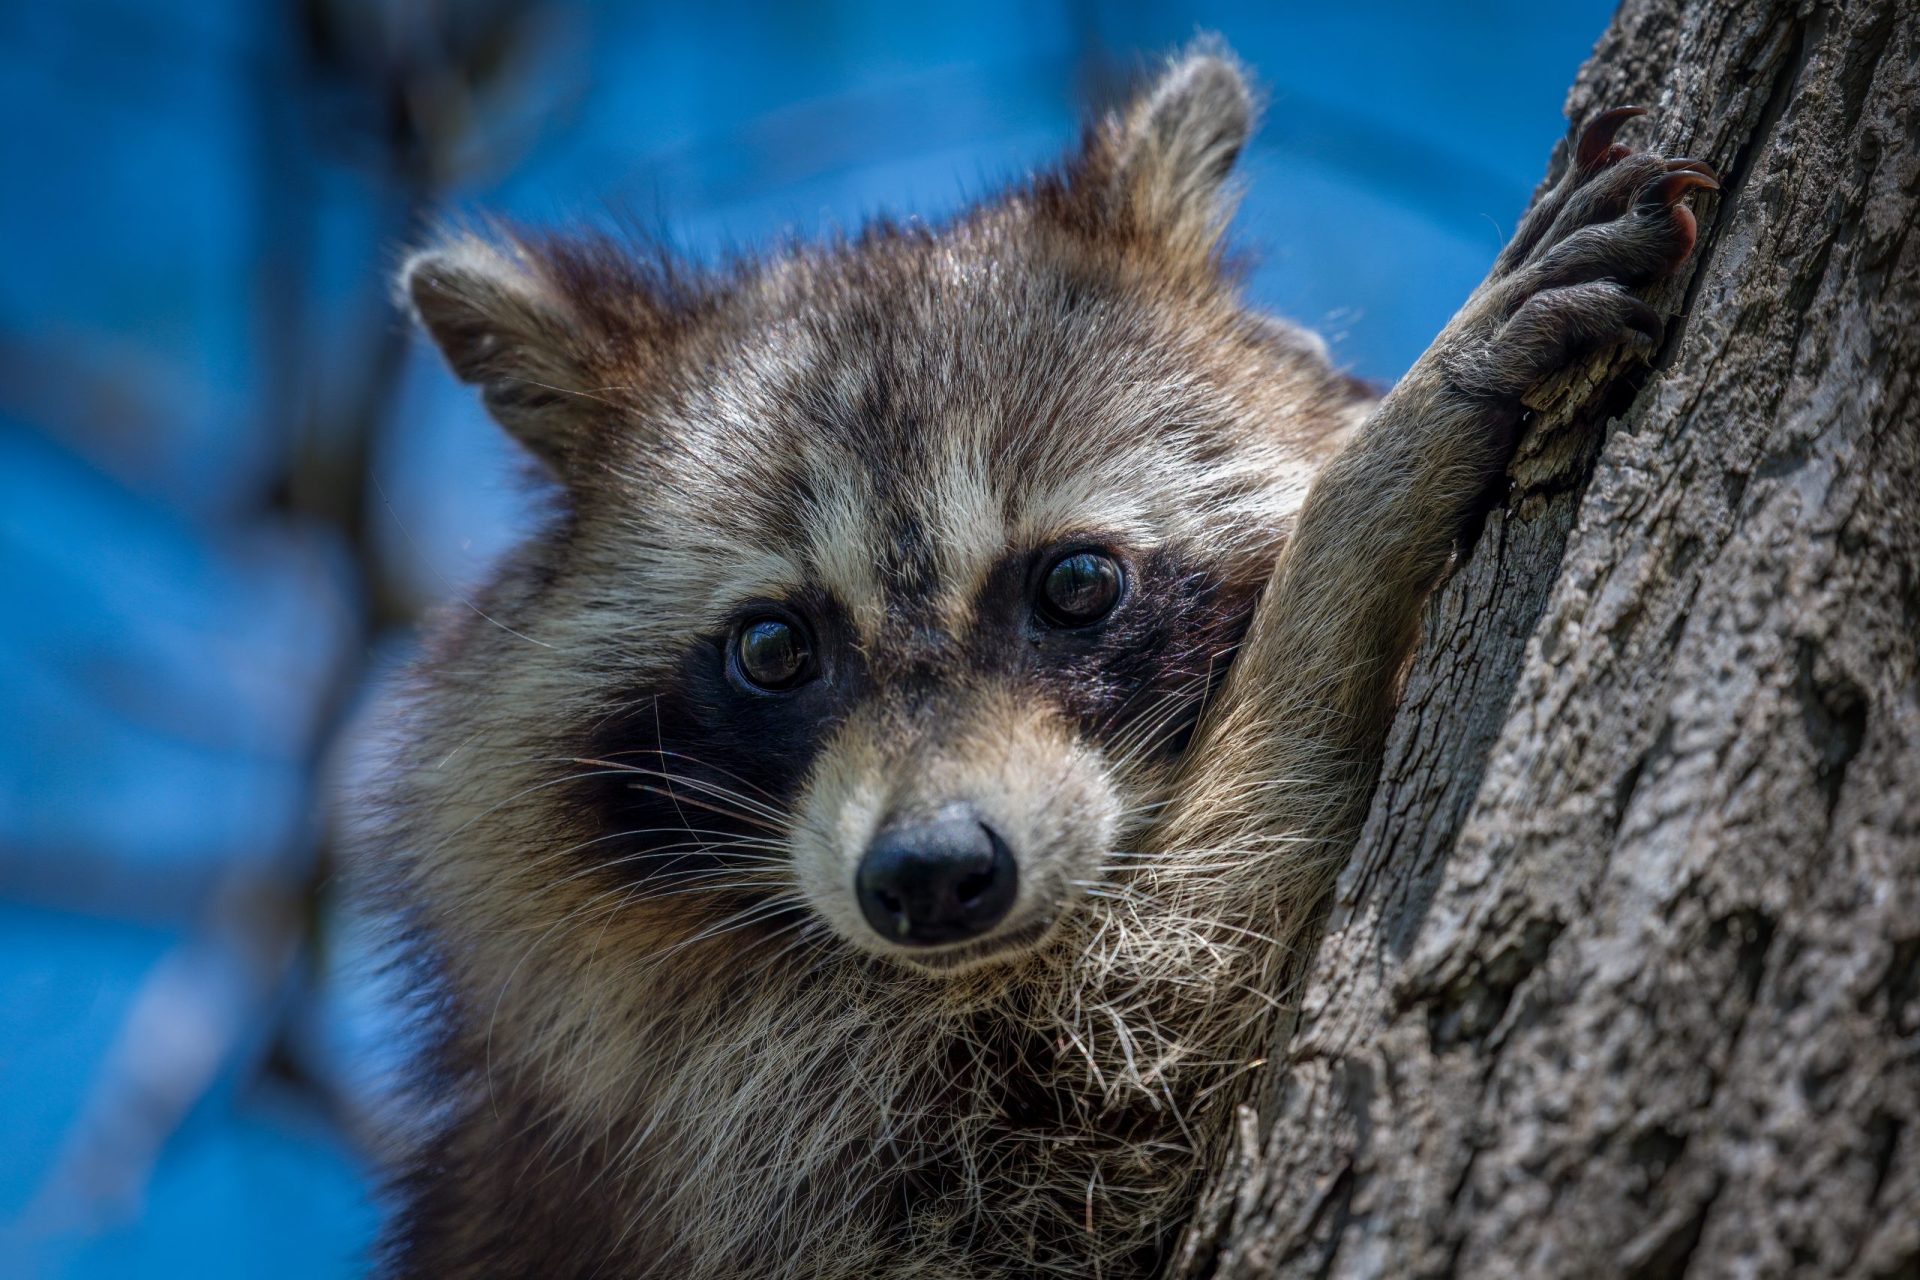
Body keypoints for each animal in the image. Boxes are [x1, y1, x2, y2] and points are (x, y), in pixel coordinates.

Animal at [361, 46, 1711, 1279]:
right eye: (772, 646)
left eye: (1075, 585)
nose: (930, 873)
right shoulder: (746, 1139)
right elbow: (1121, 1065)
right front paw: (1363, 514)